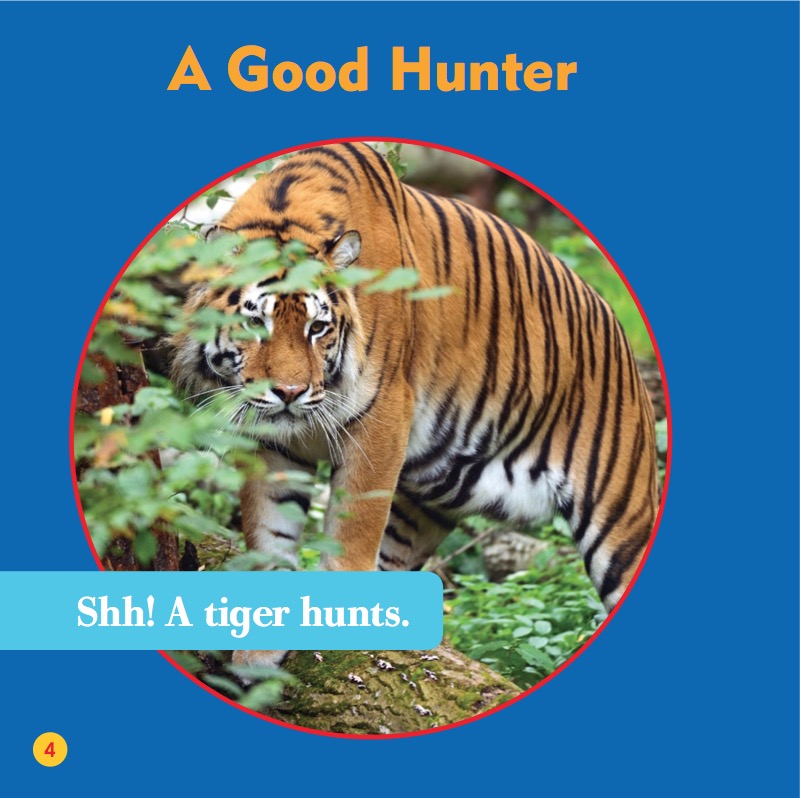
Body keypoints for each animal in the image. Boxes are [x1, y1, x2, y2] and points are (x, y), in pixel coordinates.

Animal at [170, 141, 660, 670]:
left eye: (317, 328)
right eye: (254, 323)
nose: (290, 392)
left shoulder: (382, 414)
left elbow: (356, 524)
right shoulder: (270, 438)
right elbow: (269, 530)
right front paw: (257, 654)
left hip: (621, 518)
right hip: (430, 499)